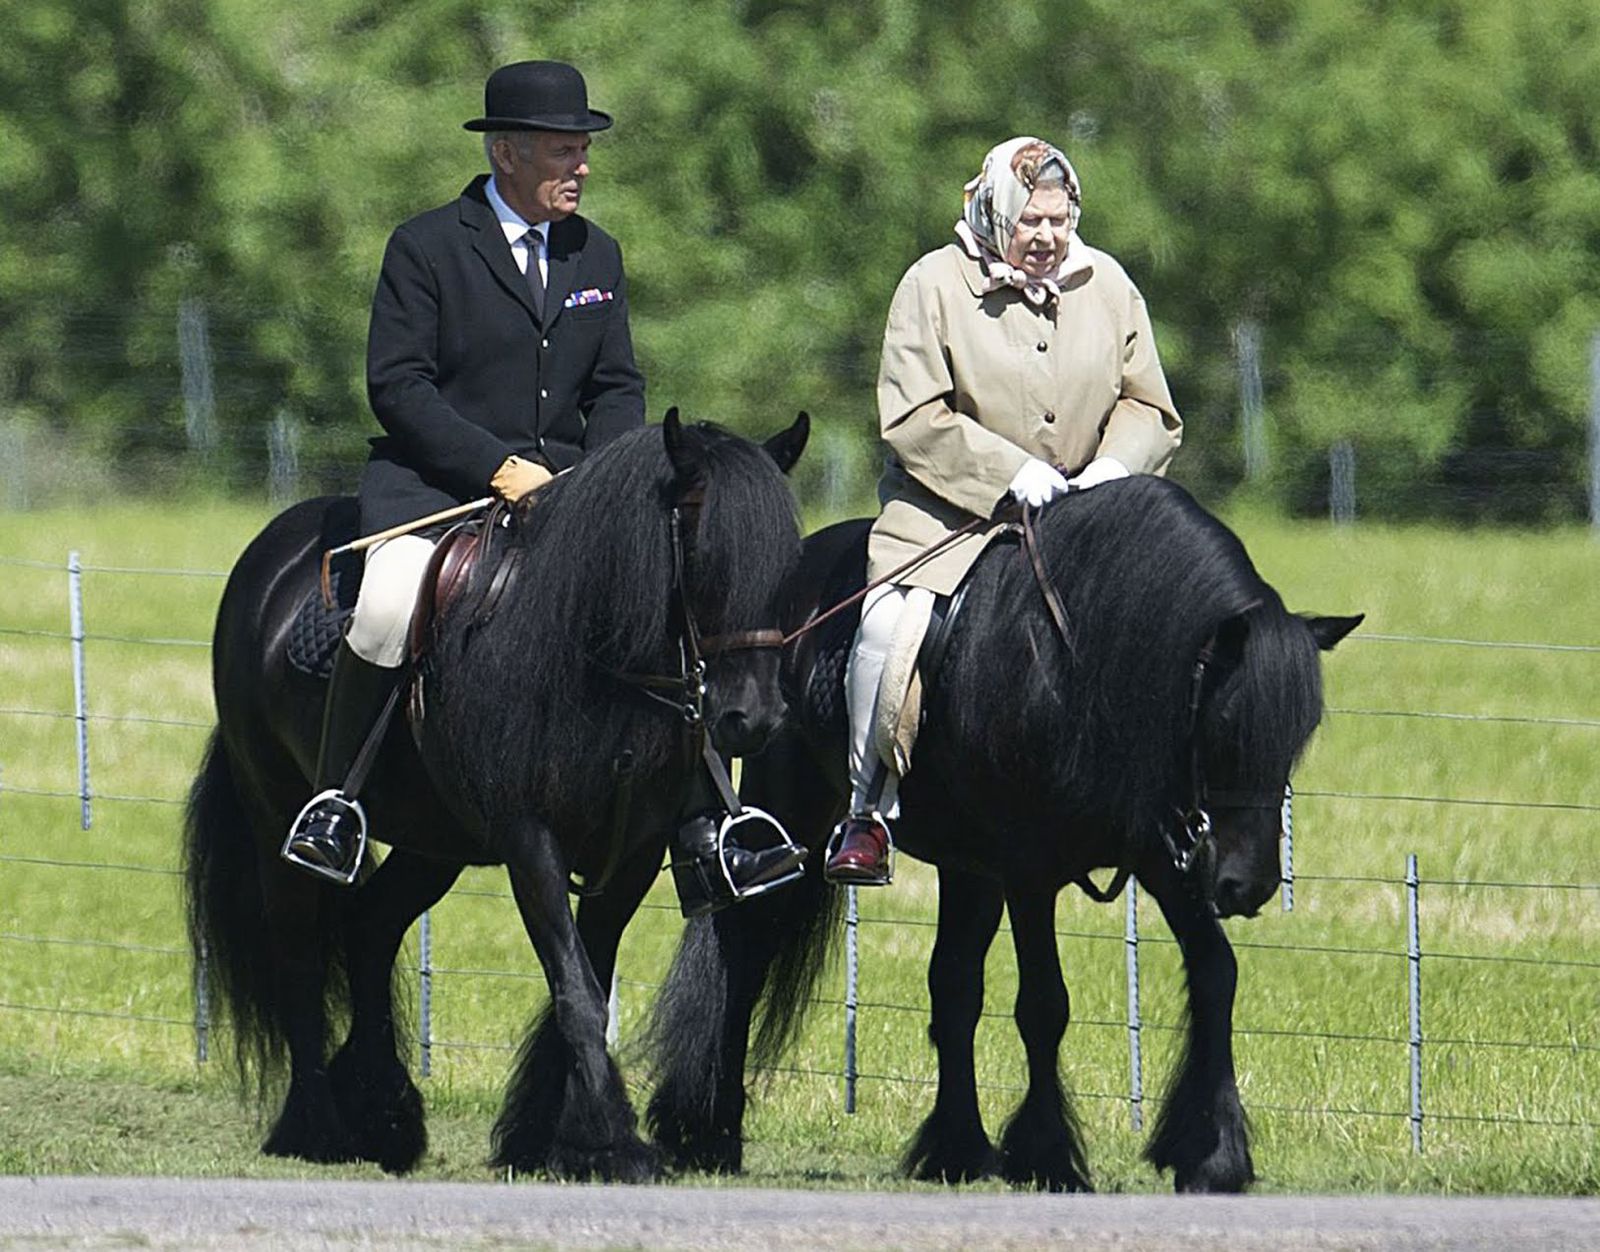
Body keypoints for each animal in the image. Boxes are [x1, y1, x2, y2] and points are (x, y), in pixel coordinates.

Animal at [185, 413, 806, 1184]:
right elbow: (575, 988)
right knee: (299, 950)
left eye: (786, 562)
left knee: (369, 928)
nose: (754, 719)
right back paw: (318, 1124)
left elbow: (589, 979)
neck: (584, 653)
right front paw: (610, 1142)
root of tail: (273, 552)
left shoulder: (630, 853)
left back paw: (385, 1115)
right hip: (278, 810)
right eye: (700, 550)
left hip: (432, 843)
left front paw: (552, 1138)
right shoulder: (529, 840)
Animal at [643, 477, 1356, 1197]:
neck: (1082, 660)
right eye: (1226, 726)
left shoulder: (1164, 859)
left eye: (1299, 735)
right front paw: (1047, 1155)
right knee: (745, 951)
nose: (1246, 884)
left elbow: (1215, 974)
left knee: (953, 987)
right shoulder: (1029, 869)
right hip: (795, 813)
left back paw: (955, 1148)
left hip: (968, 869)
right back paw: (711, 1131)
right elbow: (1044, 1005)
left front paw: (1214, 1153)